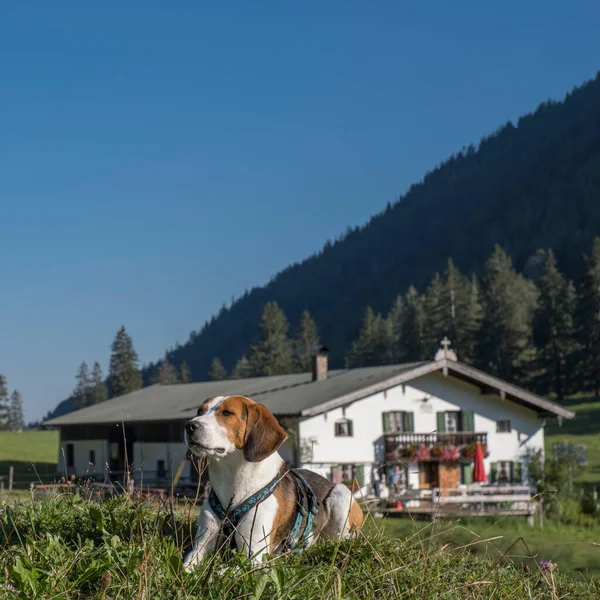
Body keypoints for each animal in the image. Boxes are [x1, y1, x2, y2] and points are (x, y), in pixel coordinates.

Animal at [182, 394, 360, 572]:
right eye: (200, 411)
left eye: (227, 413)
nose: (190, 425)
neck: (232, 479)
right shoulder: (200, 546)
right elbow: (185, 567)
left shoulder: (254, 555)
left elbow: (222, 572)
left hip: (341, 496)